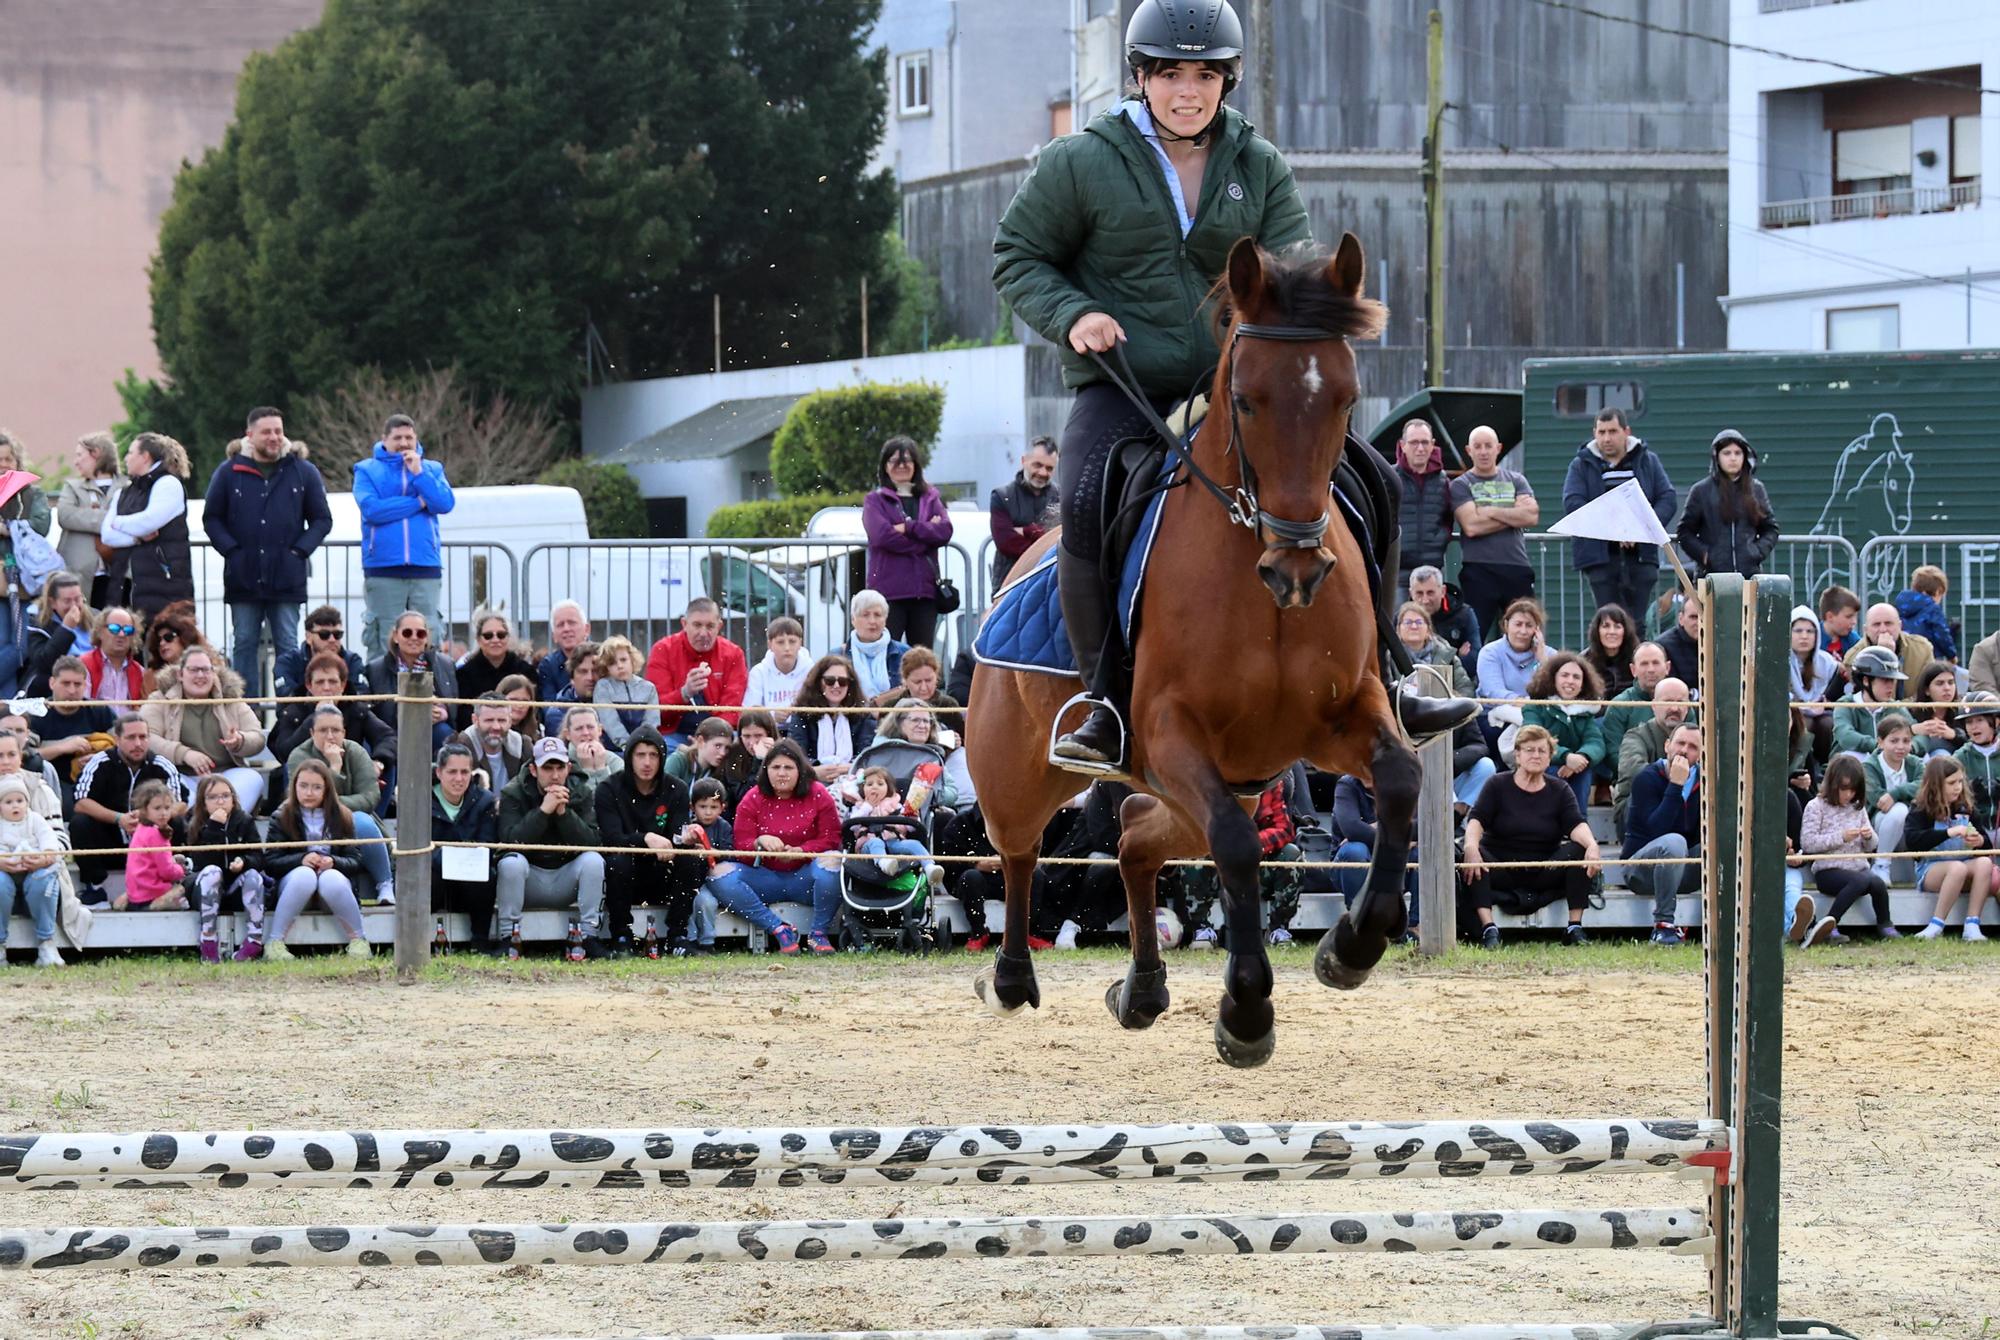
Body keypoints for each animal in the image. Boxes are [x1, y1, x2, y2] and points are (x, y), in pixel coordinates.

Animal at [964, 234, 1408, 1072]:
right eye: (1248, 399)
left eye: (1344, 398)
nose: (1298, 568)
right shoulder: (1171, 733)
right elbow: (1236, 850)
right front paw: (1246, 1013)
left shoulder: (1344, 716)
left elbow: (1400, 780)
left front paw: (1350, 947)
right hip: (1022, 771)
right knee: (1020, 853)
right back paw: (1008, 977)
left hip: (1215, 785)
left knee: (1136, 839)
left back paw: (1141, 990)